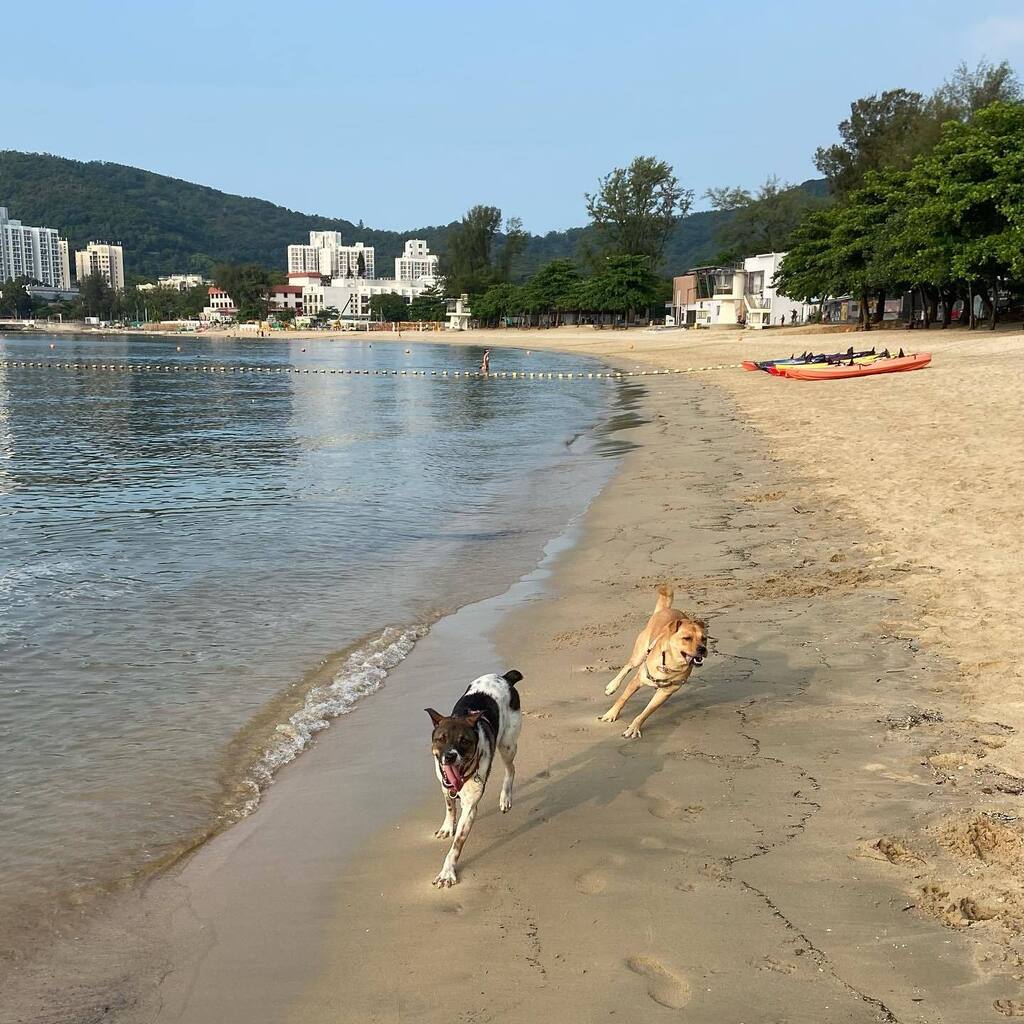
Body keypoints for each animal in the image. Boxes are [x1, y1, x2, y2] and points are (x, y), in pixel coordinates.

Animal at [423, 671, 524, 888]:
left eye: (464, 741)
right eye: (441, 739)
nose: (450, 756)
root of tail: (504, 677)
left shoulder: (470, 807)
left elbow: (456, 845)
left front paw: (447, 872)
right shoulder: (444, 785)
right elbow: (450, 807)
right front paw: (447, 827)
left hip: (508, 744)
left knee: (511, 768)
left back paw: (505, 797)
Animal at [598, 589, 708, 741]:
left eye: (704, 638)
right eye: (687, 638)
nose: (702, 649)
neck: (670, 664)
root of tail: (666, 609)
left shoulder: (665, 693)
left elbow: (647, 712)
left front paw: (634, 727)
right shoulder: (638, 680)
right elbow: (622, 699)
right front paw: (611, 714)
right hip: (640, 653)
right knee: (628, 666)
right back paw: (612, 686)